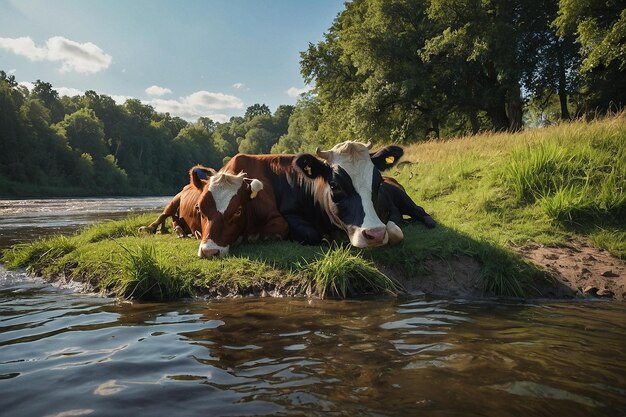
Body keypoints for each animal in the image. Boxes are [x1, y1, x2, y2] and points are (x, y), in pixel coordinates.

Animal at [140, 164, 288, 258]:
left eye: (238, 211)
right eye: (199, 208)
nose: (209, 252)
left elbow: (273, 232)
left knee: (175, 220)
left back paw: (180, 231)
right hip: (174, 200)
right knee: (164, 215)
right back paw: (150, 228)